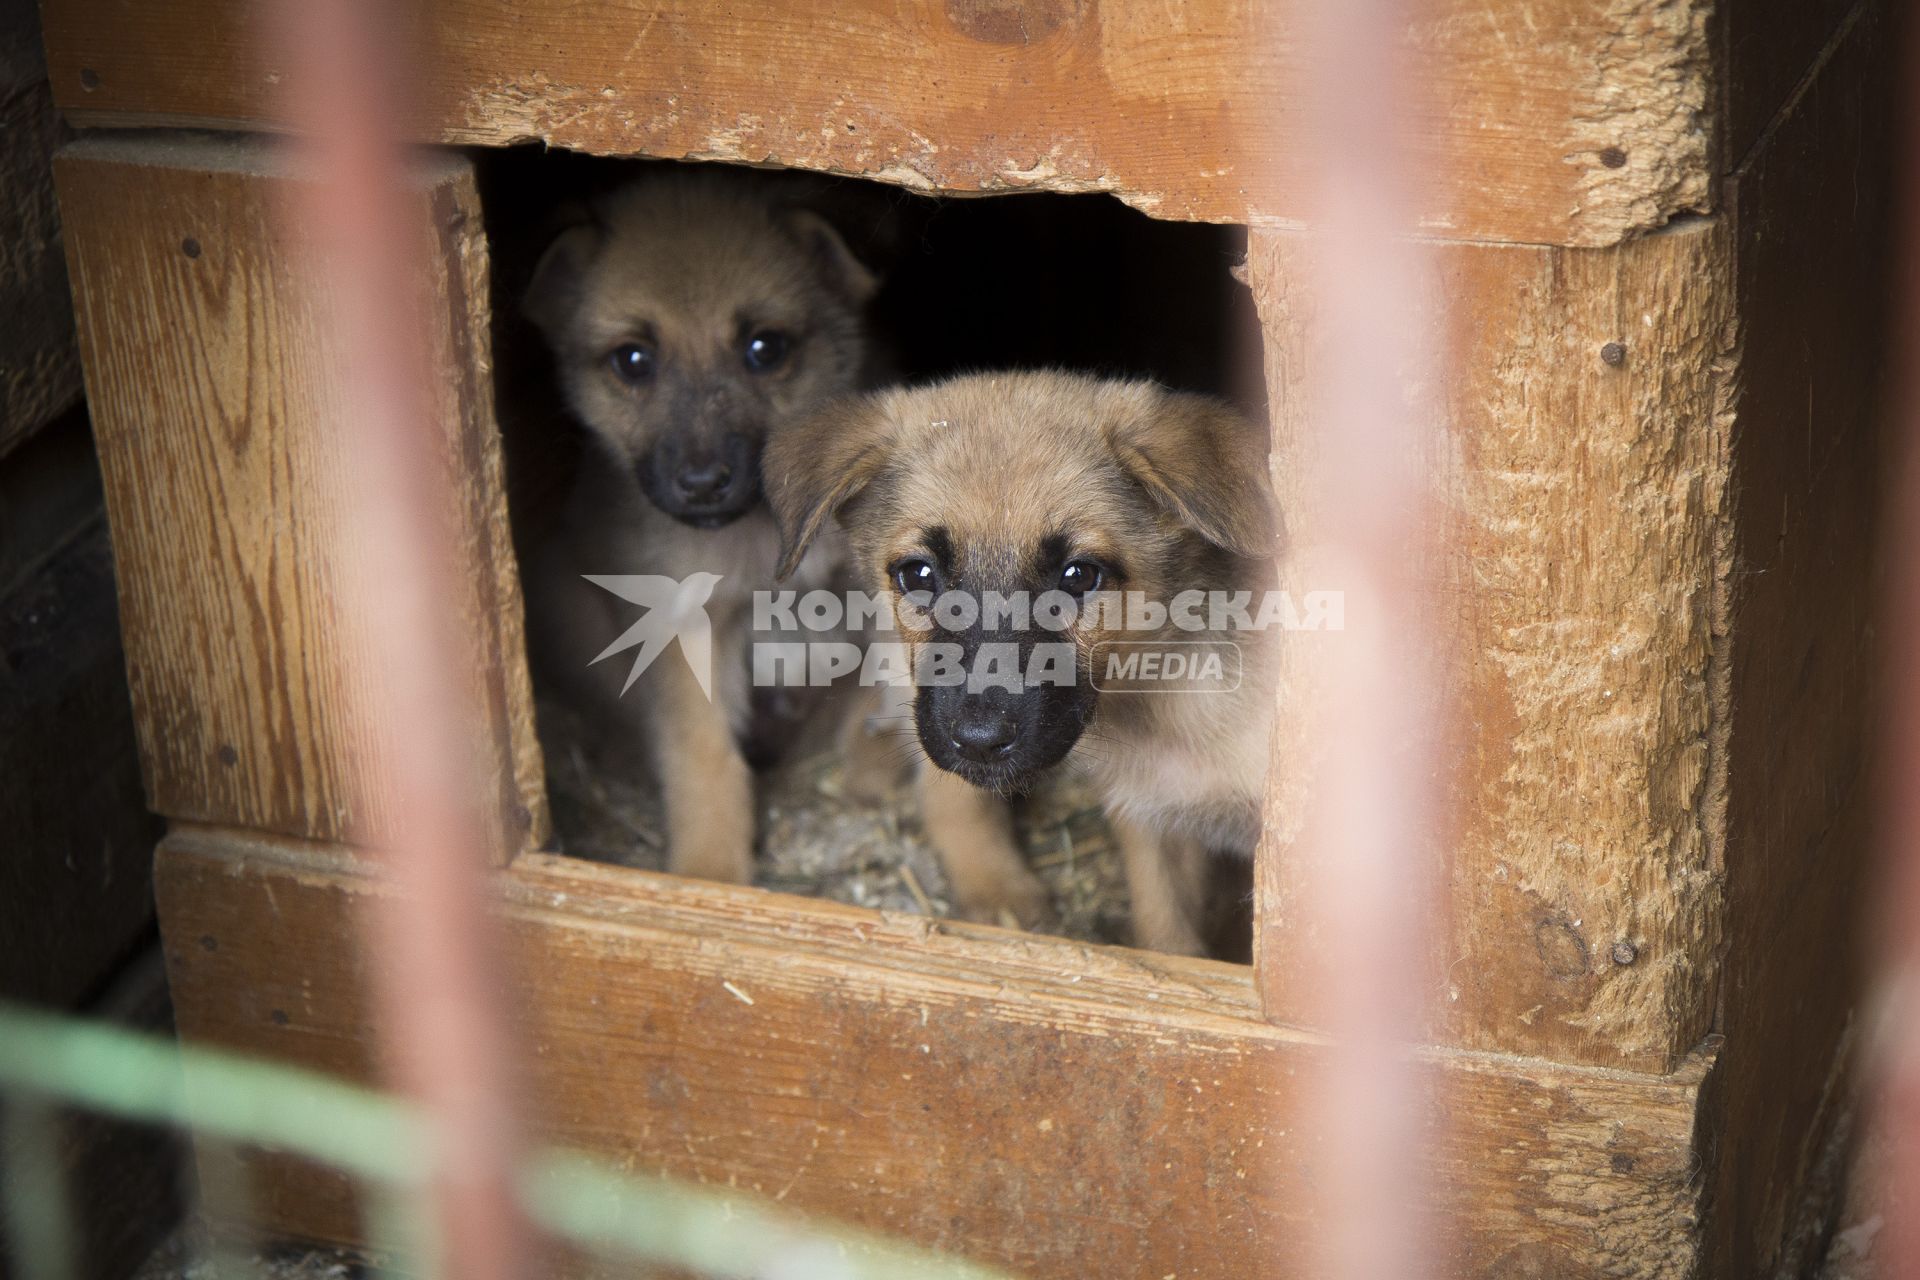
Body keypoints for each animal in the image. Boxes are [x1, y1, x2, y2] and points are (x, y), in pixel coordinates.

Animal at [526, 169, 883, 882]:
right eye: (632, 360)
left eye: (764, 349)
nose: (701, 482)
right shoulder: (681, 628)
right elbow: (704, 758)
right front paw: (711, 873)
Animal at [760, 370, 1274, 951]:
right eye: (917, 574)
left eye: (1080, 575)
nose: (980, 742)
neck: (1164, 697)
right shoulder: (1155, 831)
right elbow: (1166, 936)